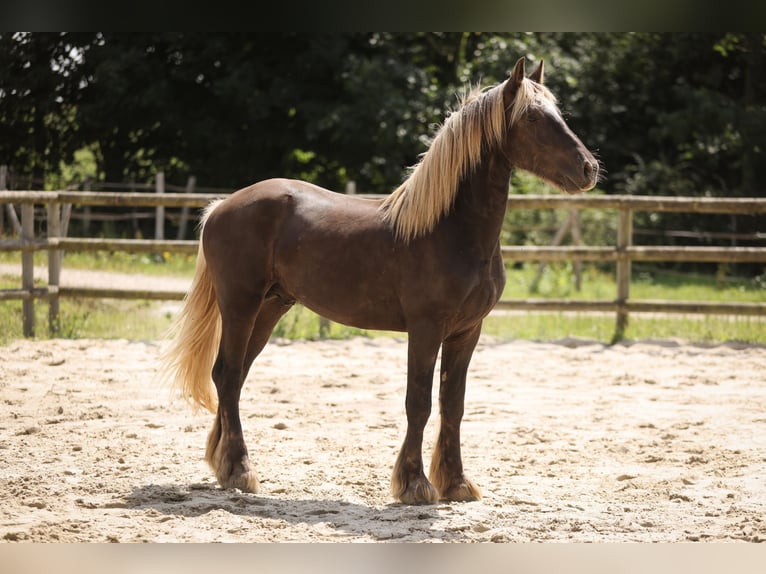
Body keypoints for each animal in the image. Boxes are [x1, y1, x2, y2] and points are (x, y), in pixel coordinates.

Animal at [160, 58, 600, 506]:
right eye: (531, 117)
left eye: (558, 112)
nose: (589, 168)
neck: (451, 230)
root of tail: (220, 207)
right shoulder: (426, 329)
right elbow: (419, 403)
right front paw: (415, 484)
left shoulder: (467, 332)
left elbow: (453, 405)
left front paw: (457, 482)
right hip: (241, 305)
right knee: (227, 375)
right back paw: (240, 471)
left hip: (270, 308)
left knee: (234, 378)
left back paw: (222, 465)